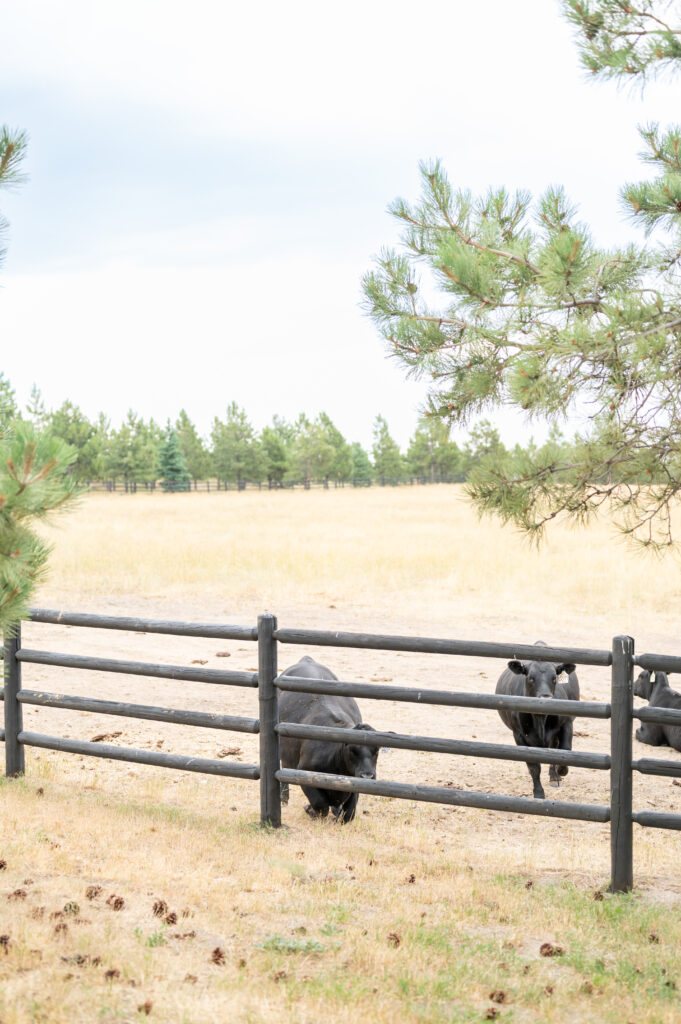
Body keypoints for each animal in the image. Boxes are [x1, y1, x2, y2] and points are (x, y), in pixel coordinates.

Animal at [278, 655, 382, 823]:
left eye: (377, 750)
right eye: (351, 750)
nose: (367, 776)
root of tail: (307, 660)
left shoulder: (354, 781)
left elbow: (349, 812)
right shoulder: (305, 772)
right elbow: (320, 804)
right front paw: (310, 810)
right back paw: (283, 800)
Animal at [493, 638, 577, 798]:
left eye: (554, 678)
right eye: (531, 678)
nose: (546, 698)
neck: (540, 719)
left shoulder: (567, 723)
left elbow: (564, 750)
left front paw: (561, 770)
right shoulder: (519, 735)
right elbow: (533, 767)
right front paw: (538, 792)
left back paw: (555, 776)